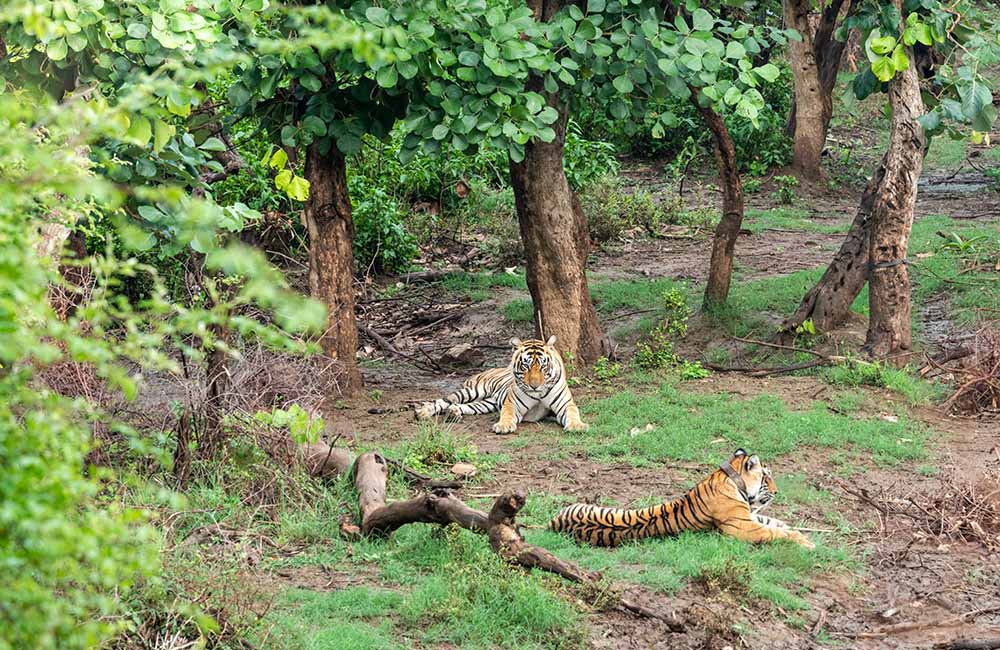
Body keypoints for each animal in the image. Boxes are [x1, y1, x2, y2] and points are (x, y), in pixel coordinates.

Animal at [412, 334, 584, 436]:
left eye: (543, 366)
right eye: (526, 366)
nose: (534, 386)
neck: (538, 394)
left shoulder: (565, 404)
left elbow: (573, 413)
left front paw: (577, 425)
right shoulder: (512, 404)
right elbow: (507, 414)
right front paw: (503, 426)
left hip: (487, 403)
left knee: (463, 406)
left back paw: (453, 413)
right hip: (472, 391)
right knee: (443, 401)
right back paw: (423, 412)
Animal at [552, 448, 816, 548]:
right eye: (766, 477)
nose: (777, 491)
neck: (730, 478)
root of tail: (553, 522)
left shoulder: (750, 517)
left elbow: (778, 523)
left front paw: (802, 533)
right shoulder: (743, 527)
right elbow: (776, 532)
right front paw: (806, 542)